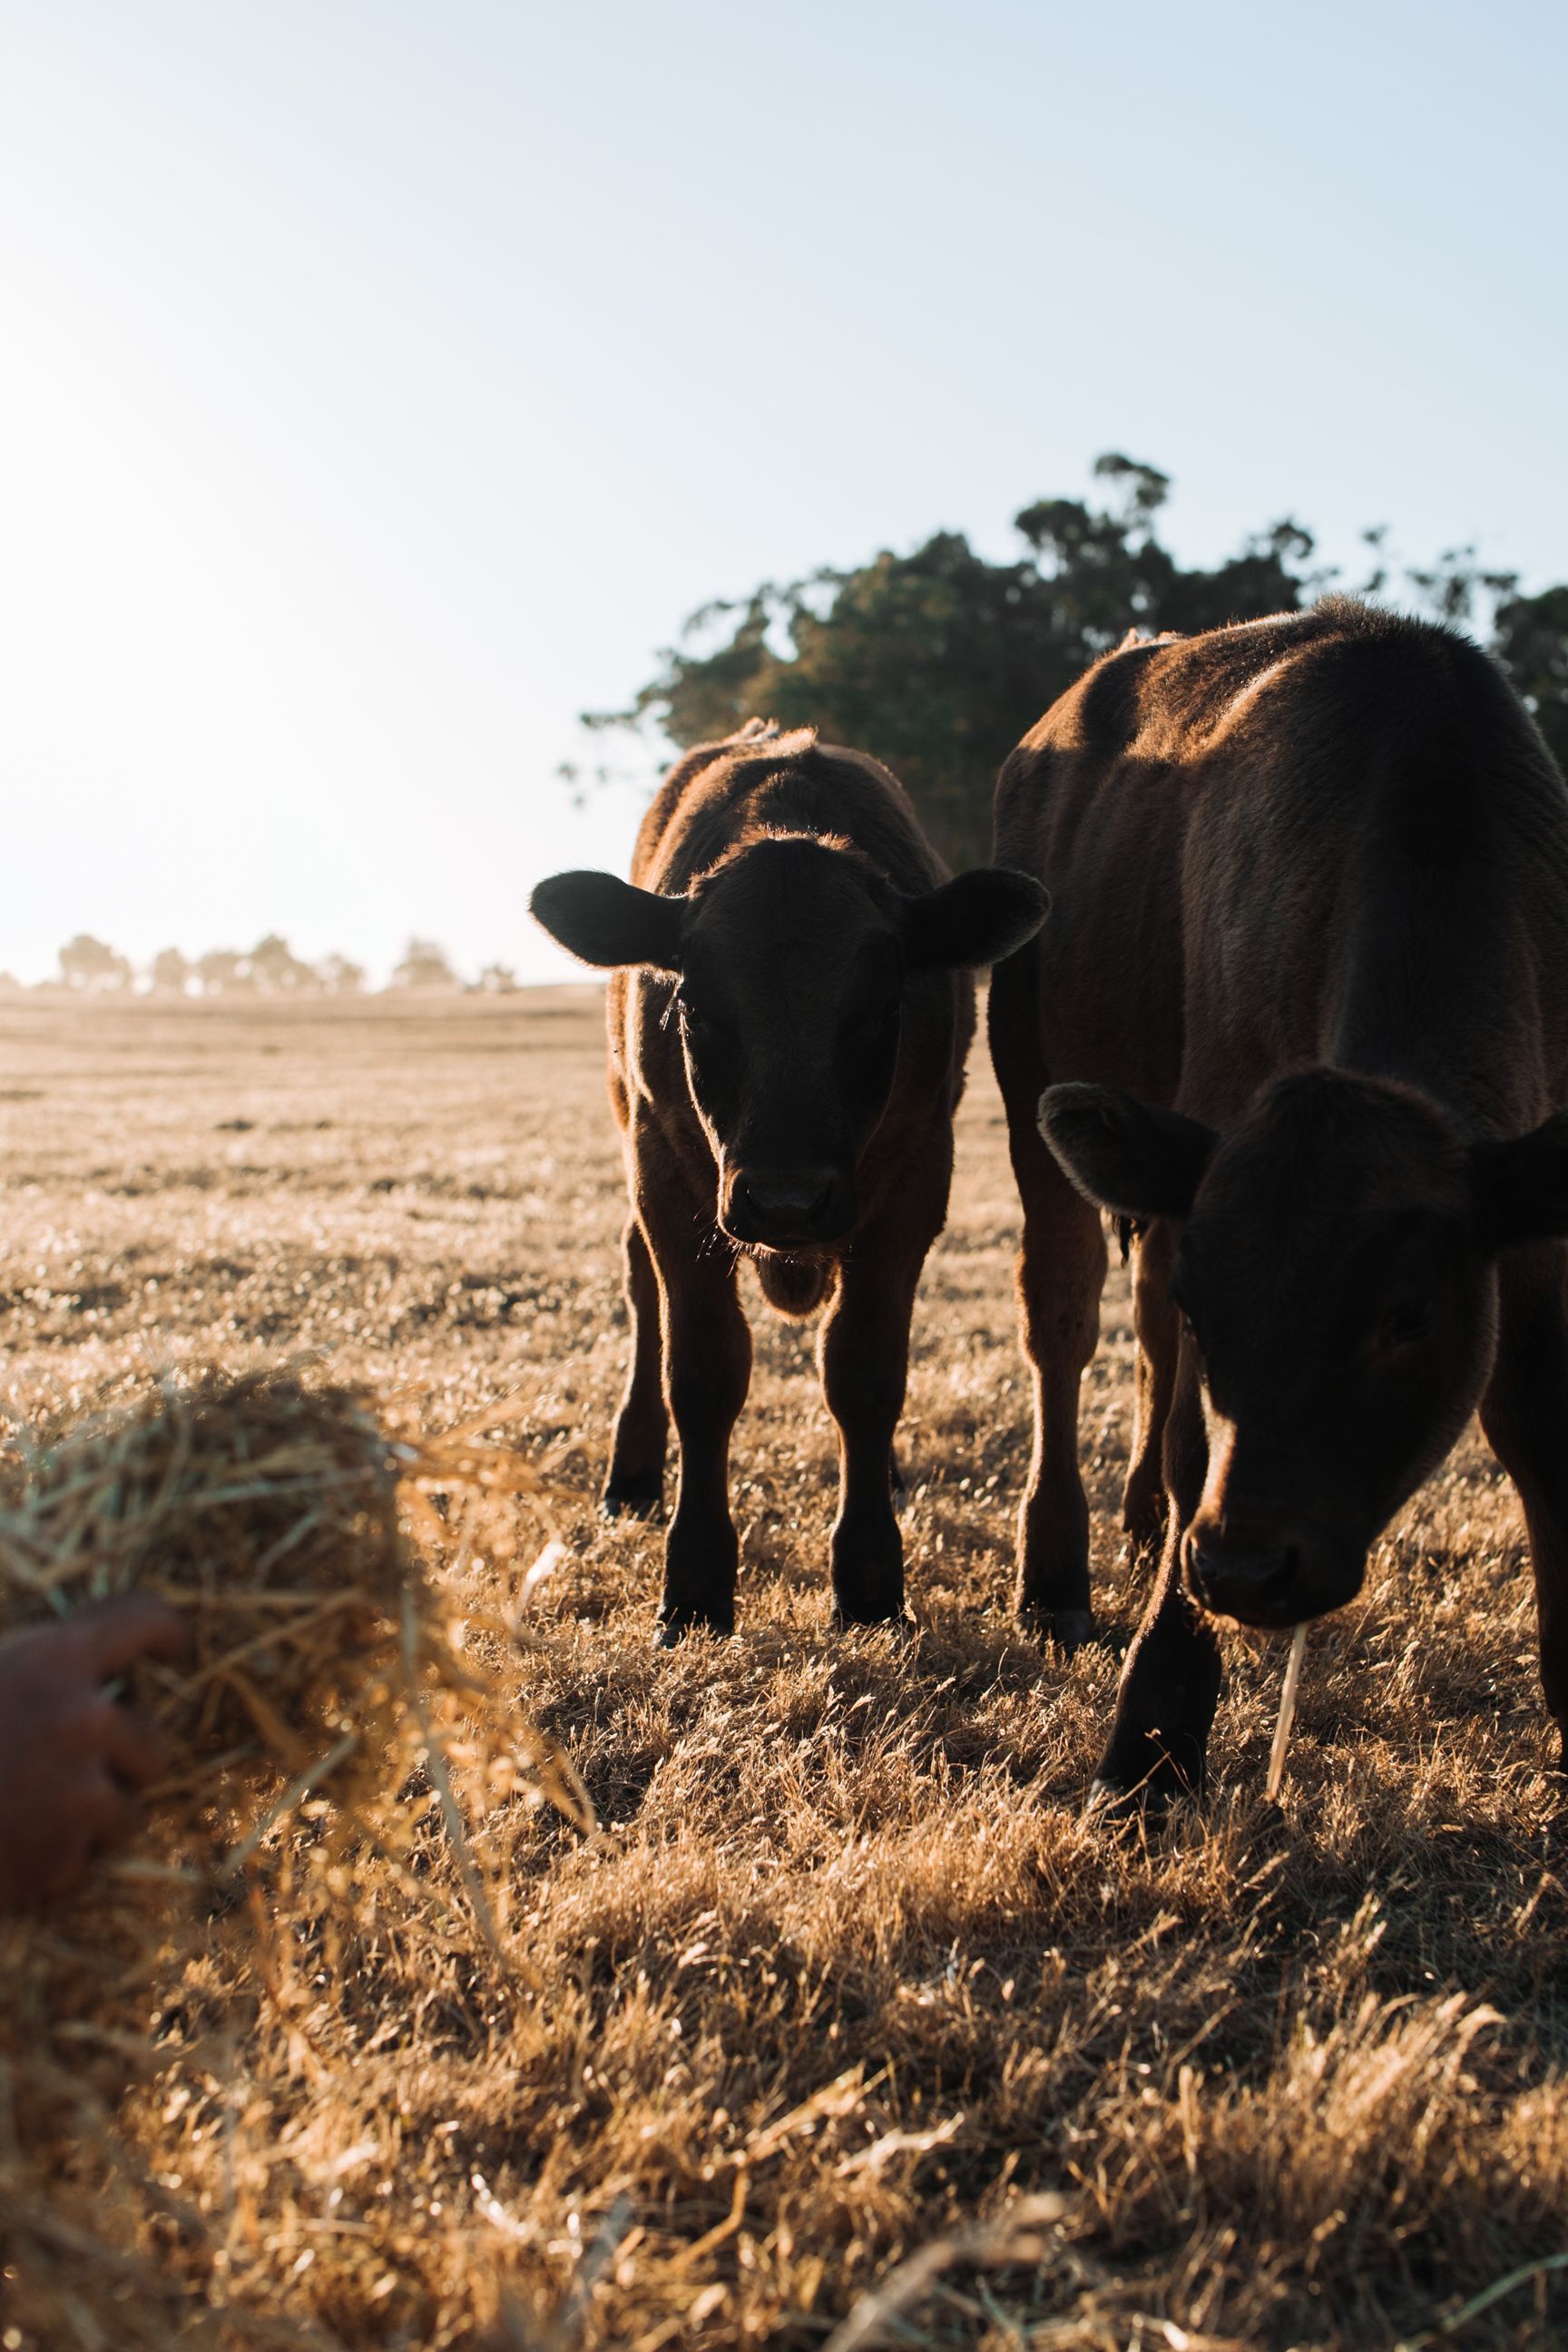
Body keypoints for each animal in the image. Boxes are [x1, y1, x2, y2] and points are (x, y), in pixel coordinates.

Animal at [530, 722, 1048, 1642]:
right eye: (693, 1004)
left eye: (886, 1005)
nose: (786, 1199)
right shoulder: (669, 1177)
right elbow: (702, 1370)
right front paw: (695, 1585)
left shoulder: (915, 1180)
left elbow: (865, 1372)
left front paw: (871, 1584)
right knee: (640, 1288)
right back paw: (633, 1473)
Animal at [987, 598, 1568, 1809]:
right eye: (1220, 1310)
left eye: (1407, 1315)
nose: (1246, 1567)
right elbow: (1191, 1435)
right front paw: (1151, 1743)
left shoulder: (1534, 1224)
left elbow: (1541, 1425)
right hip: (1030, 1081)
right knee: (1066, 1317)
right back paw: (1061, 1570)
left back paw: (1140, 1525)